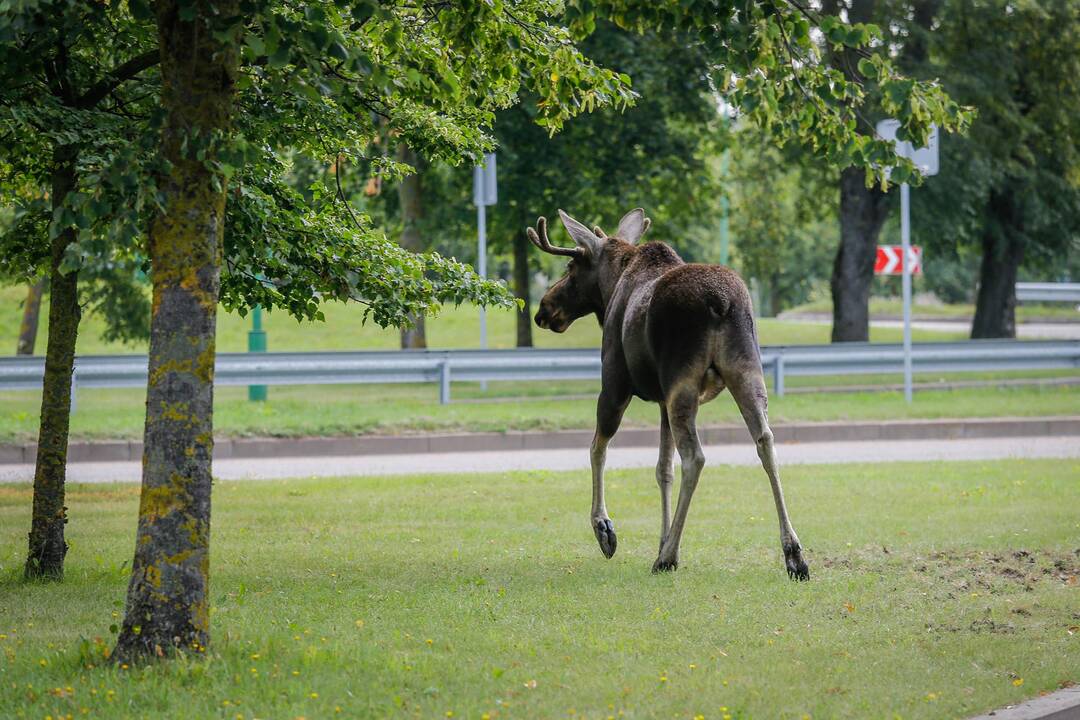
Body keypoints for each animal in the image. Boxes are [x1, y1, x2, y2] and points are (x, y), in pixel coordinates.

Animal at [531, 208, 812, 578]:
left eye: (570, 267)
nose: (543, 309)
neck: (612, 285)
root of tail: (721, 302)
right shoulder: (662, 400)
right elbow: (663, 469)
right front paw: (661, 537)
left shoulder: (615, 385)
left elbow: (597, 449)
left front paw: (605, 529)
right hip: (747, 371)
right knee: (765, 441)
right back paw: (794, 554)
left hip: (683, 382)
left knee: (695, 456)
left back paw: (667, 557)